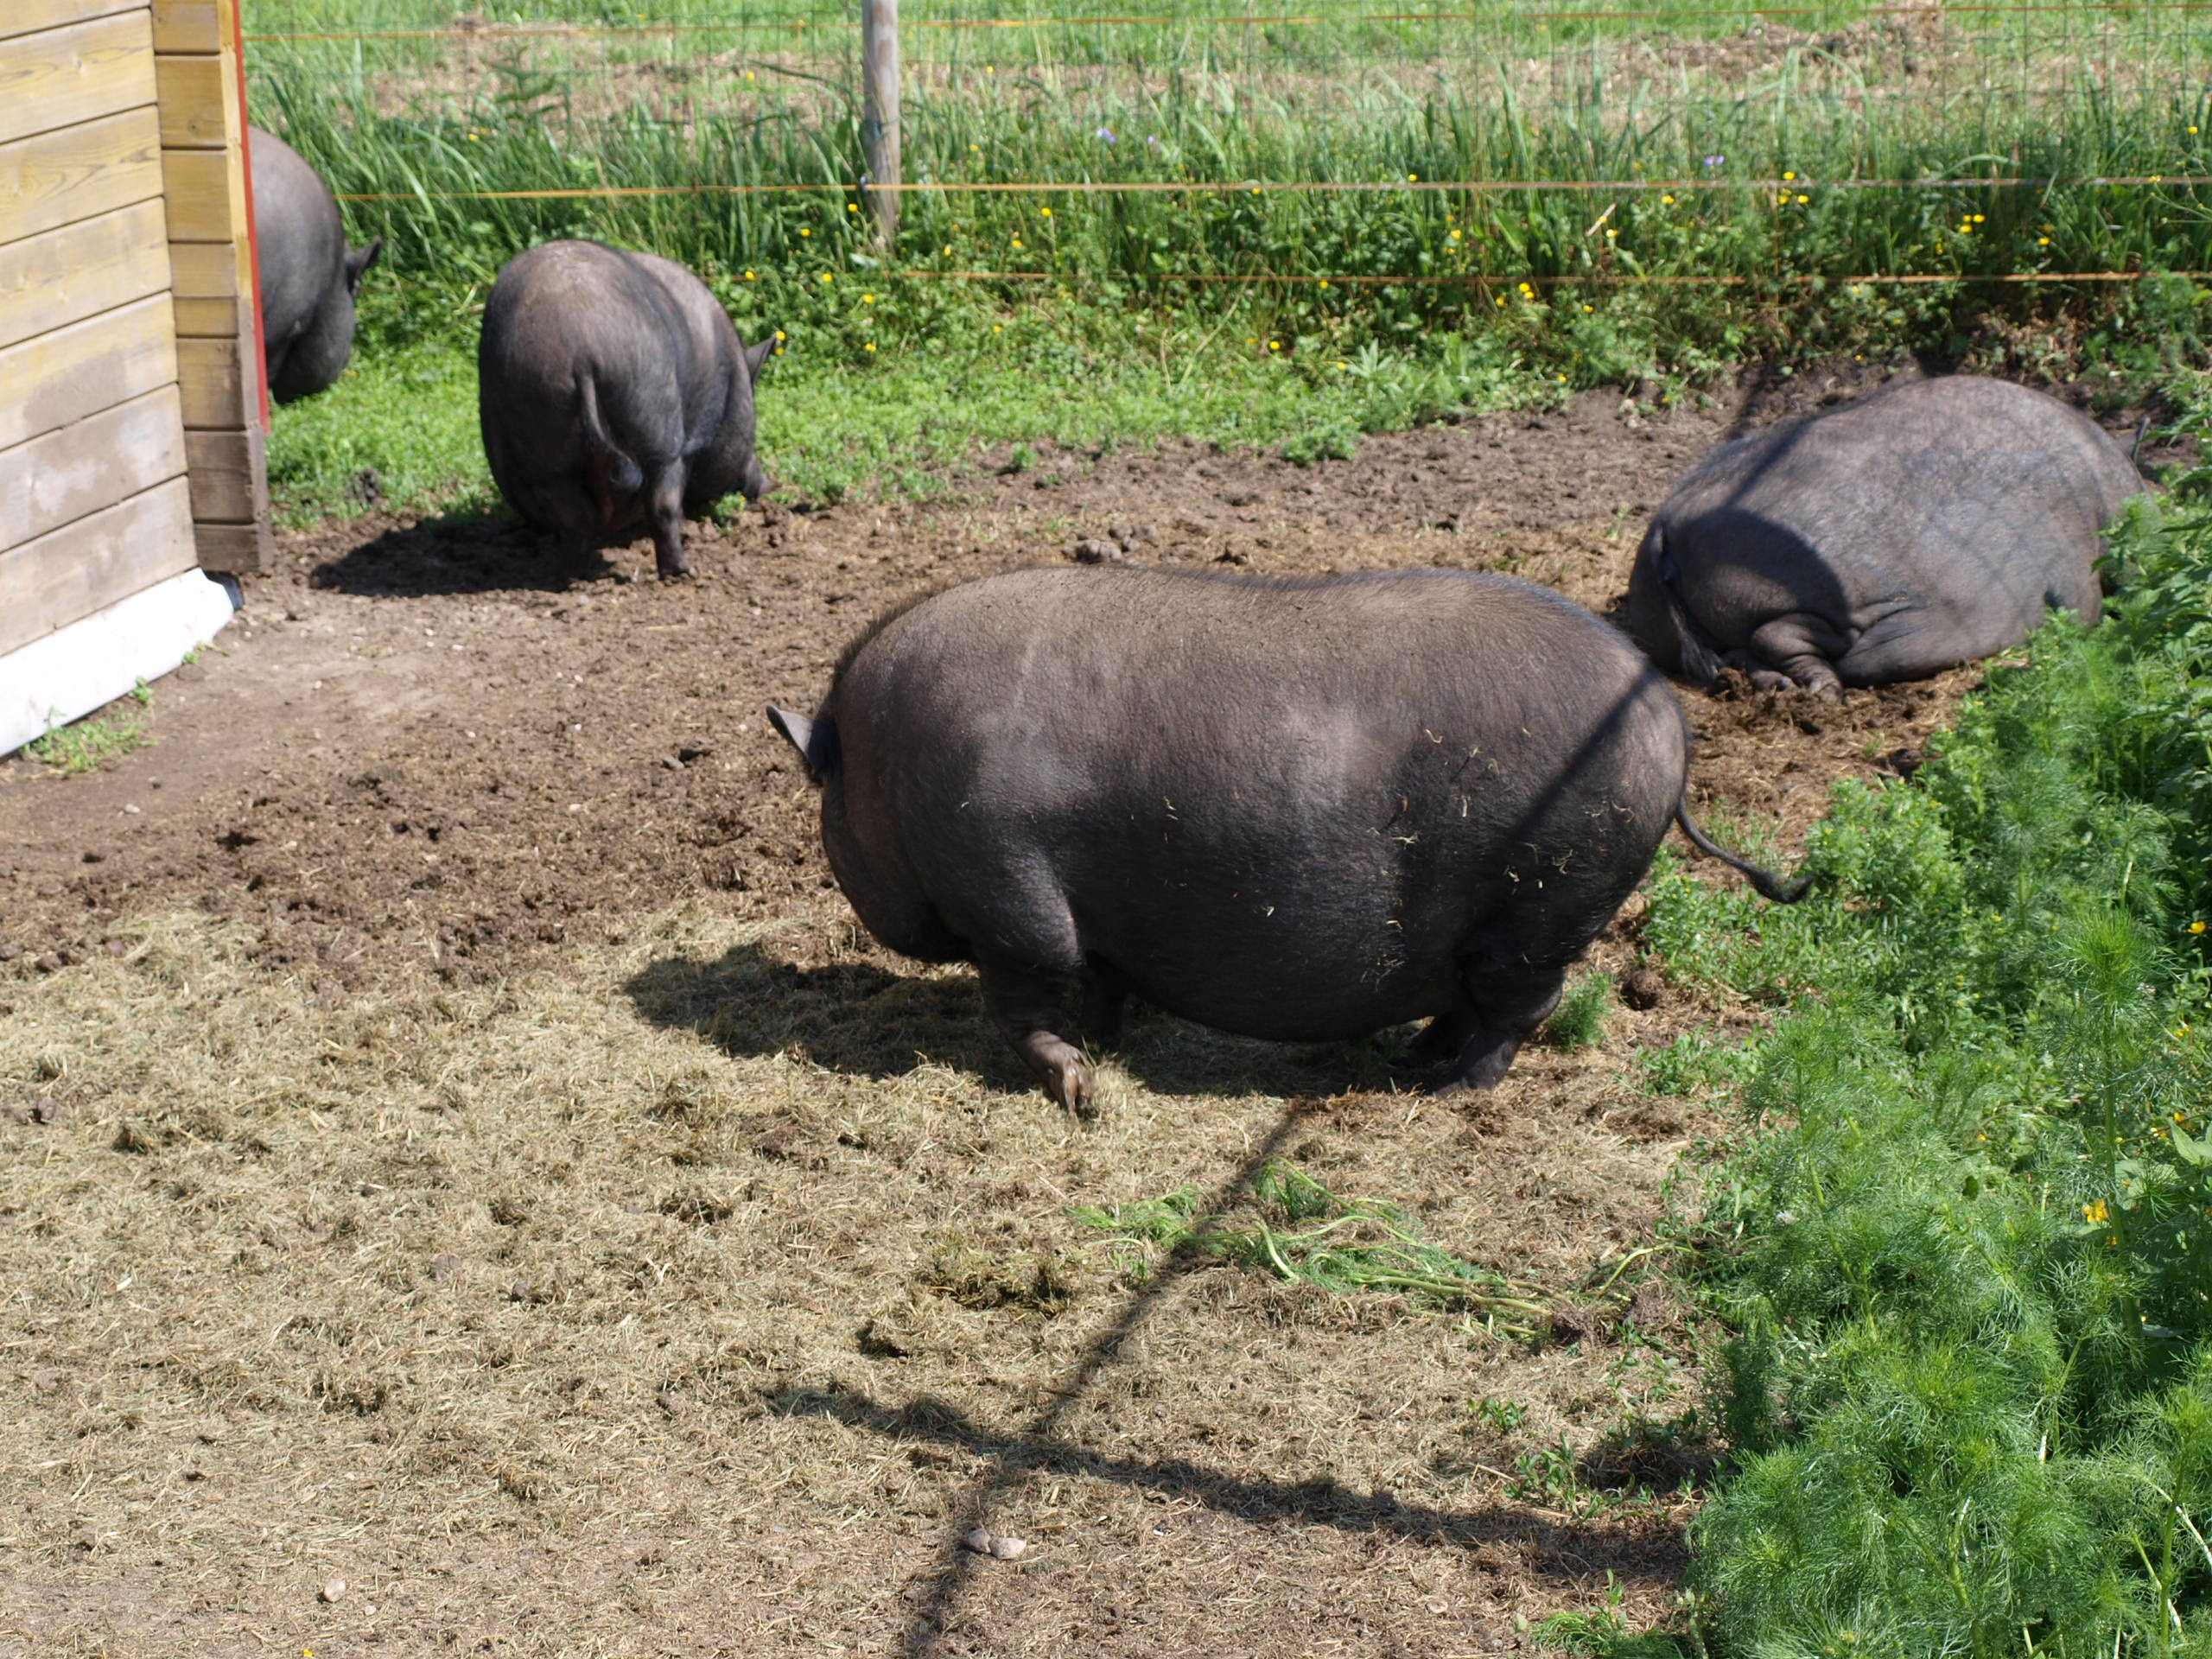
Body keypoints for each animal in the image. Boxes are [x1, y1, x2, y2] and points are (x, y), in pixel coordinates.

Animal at [477, 240, 773, 579]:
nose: (768, 484)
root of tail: (580, 350)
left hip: (541, 418)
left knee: (572, 514)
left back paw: (574, 574)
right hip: (652, 404)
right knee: (663, 500)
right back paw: (683, 571)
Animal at [768, 566, 1803, 1113]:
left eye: (823, 803)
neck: (882, 763)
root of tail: (1667, 712)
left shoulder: (1007, 890)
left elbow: (1025, 999)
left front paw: (1082, 1090)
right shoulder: (1093, 917)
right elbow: (1099, 981)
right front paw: (1105, 1052)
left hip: (1546, 904)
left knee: (1520, 1010)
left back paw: (1450, 1094)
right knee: (1467, 1002)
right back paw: (1412, 1065)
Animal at [1625, 375, 2145, 693]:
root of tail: (1668, 523)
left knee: (1741, 653)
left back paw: (1784, 687)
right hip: (1836, 590)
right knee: (1788, 638)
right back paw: (1826, 689)